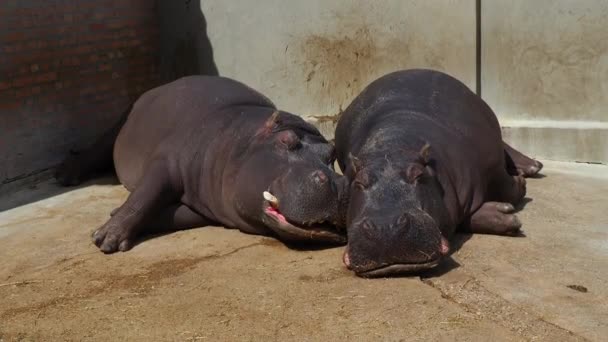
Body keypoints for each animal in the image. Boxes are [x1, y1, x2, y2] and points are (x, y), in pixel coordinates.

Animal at [57, 75, 352, 251]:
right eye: (287, 141)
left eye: (332, 153)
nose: (338, 183)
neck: (242, 141)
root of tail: (160, 87)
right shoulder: (168, 160)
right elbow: (145, 195)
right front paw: (105, 239)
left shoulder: (208, 206)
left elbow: (175, 216)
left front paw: (112, 215)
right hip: (118, 127)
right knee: (97, 149)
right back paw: (66, 175)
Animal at [334, 69, 544, 278]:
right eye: (359, 183)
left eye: (418, 175)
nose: (386, 226)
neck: (392, 145)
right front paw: (506, 214)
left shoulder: (492, 167)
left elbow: (511, 189)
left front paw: (520, 185)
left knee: (505, 147)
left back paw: (532, 166)